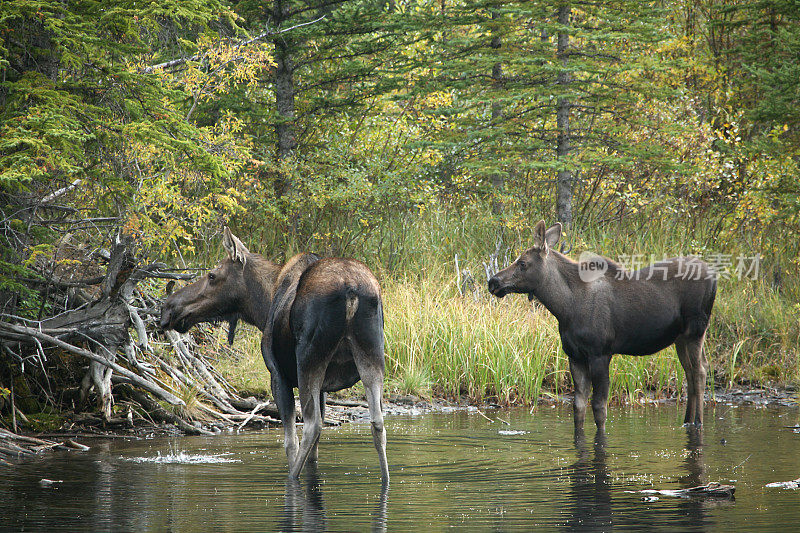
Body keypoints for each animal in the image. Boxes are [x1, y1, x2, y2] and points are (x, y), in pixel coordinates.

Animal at [158, 227, 390, 480]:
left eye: (212, 275)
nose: (169, 308)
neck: (262, 306)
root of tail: (351, 290)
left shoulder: (277, 374)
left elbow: (290, 442)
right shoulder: (323, 389)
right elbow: (315, 452)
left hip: (308, 359)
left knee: (312, 426)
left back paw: (292, 478)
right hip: (372, 354)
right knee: (377, 422)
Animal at [488, 220, 720, 432]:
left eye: (523, 263)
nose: (493, 282)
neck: (564, 308)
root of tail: (715, 276)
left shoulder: (600, 353)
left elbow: (599, 408)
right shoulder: (575, 356)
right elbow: (578, 407)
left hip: (696, 330)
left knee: (700, 371)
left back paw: (698, 422)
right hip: (680, 337)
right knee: (690, 371)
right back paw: (687, 421)